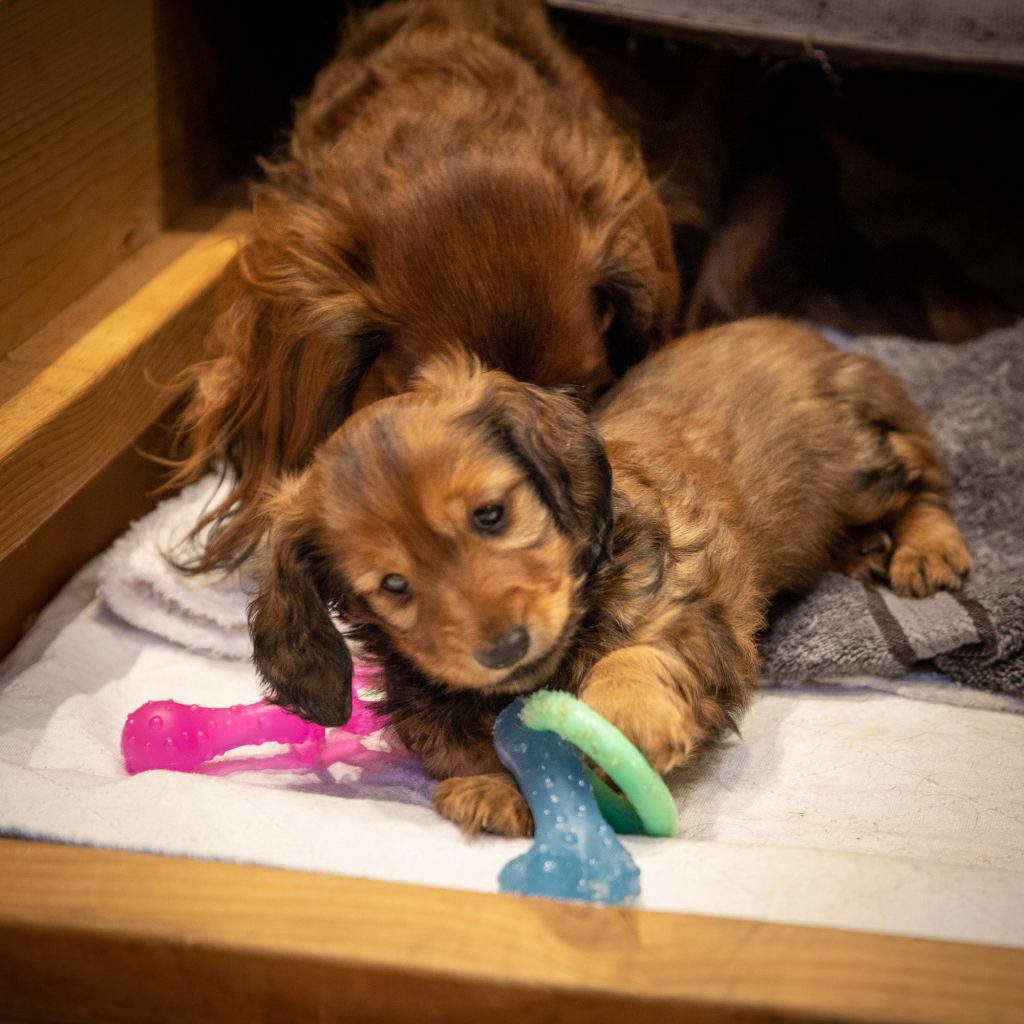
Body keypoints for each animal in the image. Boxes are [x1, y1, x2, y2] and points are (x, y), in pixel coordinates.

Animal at [245, 319, 966, 839]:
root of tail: (818, 342)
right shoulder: (428, 702)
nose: (503, 648)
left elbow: (642, 652)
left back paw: (925, 549)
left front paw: (625, 708)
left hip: (861, 471)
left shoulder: (697, 611)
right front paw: (494, 786)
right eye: (393, 585)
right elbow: (466, 742)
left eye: (491, 514)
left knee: (923, 479)